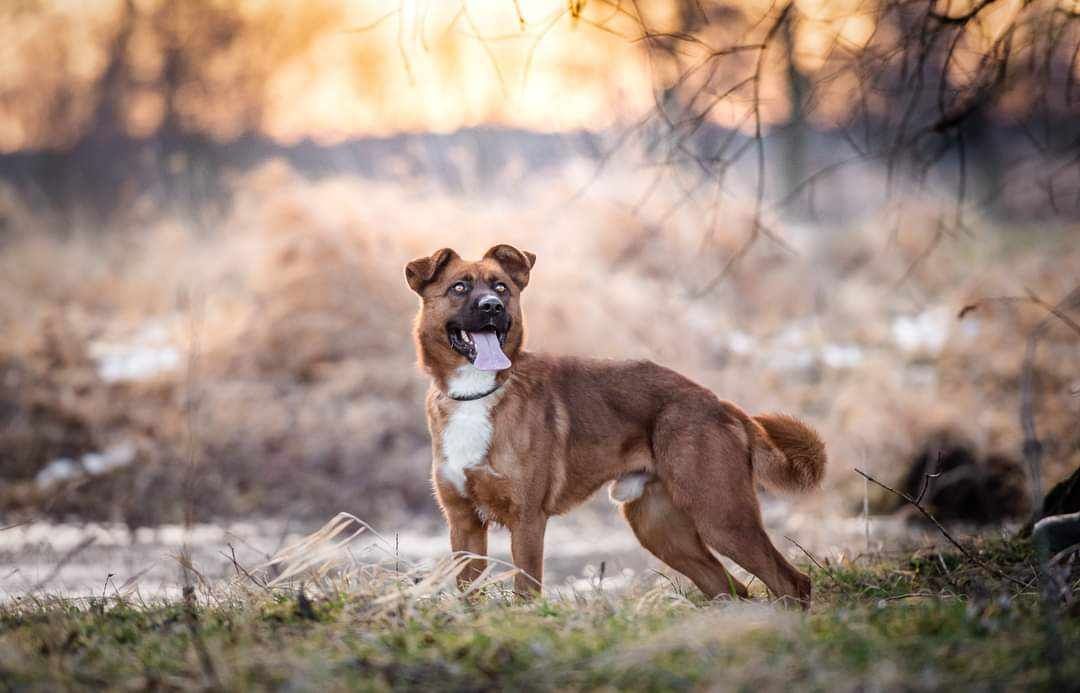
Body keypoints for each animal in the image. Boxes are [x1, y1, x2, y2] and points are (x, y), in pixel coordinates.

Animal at [406, 242, 825, 604]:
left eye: (501, 288)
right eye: (459, 288)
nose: (492, 307)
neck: (476, 395)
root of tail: (718, 403)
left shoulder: (527, 521)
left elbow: (525, 593)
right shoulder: (464, 525)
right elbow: (469, 595)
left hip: (721, 516)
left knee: (792, 583)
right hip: (662, 531)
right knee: (734, 590)